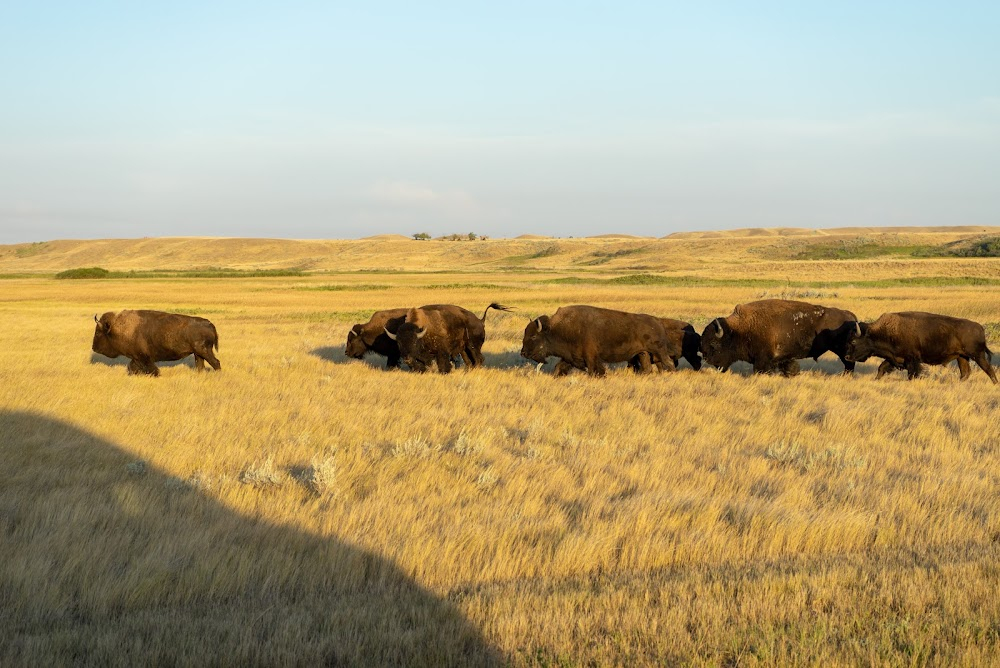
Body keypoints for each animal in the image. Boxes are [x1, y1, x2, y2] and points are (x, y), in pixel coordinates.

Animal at [91, 310, 221, 376]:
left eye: (98, 333)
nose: (93, 347)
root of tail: (209, 324)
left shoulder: (143, 357)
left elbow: (152, 369)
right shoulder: (137, 358)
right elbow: (132, 368)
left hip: (204, 351)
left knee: (216, 362)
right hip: (198, 353)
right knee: (200, 365)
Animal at [380, 304, 512, 374]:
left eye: (414, 342)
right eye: (398, 343)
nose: (406, 358)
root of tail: (480, 321)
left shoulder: (441, 352)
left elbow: (443, 363)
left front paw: (445, 372)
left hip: (473, 346)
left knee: (479, 359)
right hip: (464, 349)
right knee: (469, 361)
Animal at [520, 306, 676, 378]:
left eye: (533, 337)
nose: (523, 353)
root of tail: (658, 321)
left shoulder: (590, 357)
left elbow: (594, 370)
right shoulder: (570, 357)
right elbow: (559, 368)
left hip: (659, 351)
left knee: (668, 363)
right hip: (643, 353)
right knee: (647, 368)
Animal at [700, 298, 856, 376]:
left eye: (714, 344)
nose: (706, 358)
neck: (741, 328)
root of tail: (850, 316)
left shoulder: (763, 359)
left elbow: (761, 369)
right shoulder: (784, 357)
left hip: (842, 350)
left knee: (849, 363)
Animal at [844, 312, 1000, 384]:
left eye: (853, 341)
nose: (847, 356)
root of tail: (980, 327)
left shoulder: (912, 360)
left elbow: (912, 374)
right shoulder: (893, 358)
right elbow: (881, 368)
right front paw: (876, 380)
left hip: (977, 355)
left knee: (988, 369)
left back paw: (995, 383)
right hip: (962, 357)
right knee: (965, 373)